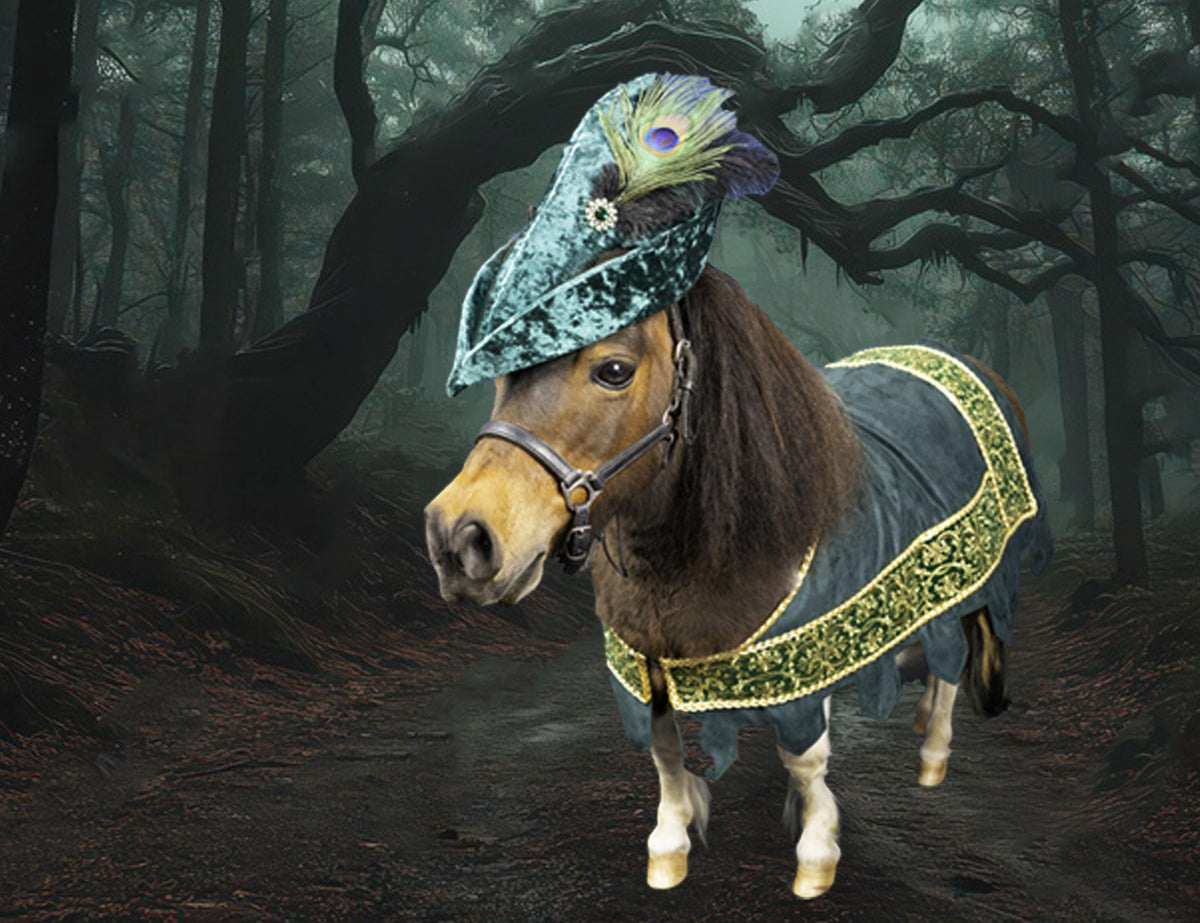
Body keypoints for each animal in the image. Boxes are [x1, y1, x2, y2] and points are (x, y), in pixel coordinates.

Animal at [425, 261, 1051, 899]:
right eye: (506, 375)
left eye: (614, 370)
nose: (457, 538)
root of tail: (963, 362)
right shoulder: (647, 667)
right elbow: (666, 753)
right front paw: (669, 851)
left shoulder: (801, 664)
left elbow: (806, 760)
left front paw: (815, 857)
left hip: (975, 574)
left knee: (955, 658)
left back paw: (932, 755)